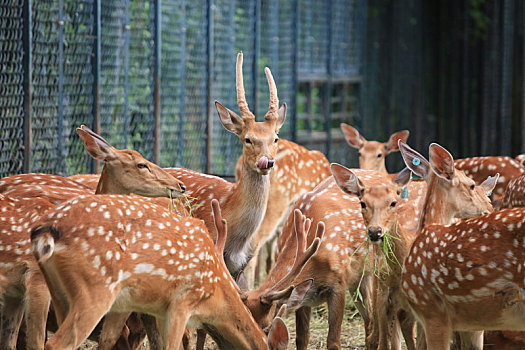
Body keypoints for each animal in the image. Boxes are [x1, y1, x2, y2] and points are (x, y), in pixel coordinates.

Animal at [31, 198, 290, 348]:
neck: (215, 292)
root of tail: (46, 230)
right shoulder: (183, 301)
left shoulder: (147, 308)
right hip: (94, 289)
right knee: (56, 343)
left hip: (60, 292)